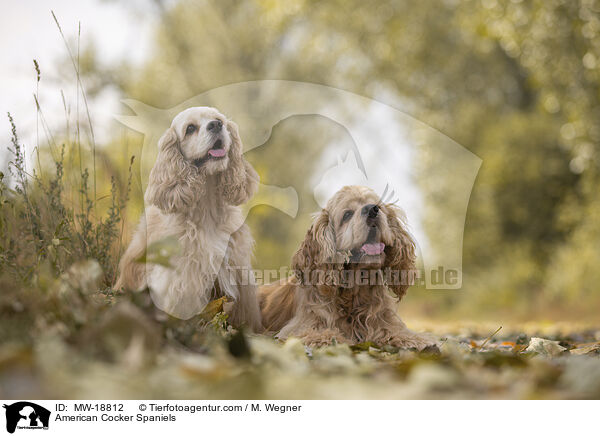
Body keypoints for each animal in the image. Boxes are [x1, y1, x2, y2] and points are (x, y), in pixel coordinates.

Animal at [116, 106, 262, 330]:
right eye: (190, 129)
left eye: (218, 119)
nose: (216, 125)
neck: (207, 207)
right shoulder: (180, 273)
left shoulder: (236, 264)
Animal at [260, 186, 434, 350]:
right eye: (347, 215)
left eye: (379, 206)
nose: (373, 210)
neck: (355, 292)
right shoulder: (301, 327)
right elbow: (322, 334)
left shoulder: (385, 321)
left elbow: (400, 333)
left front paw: (417, 341)